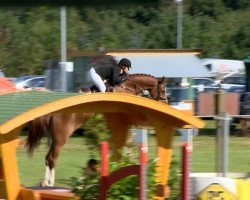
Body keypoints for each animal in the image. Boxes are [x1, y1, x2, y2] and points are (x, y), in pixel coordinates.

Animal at [25, 73, 167, 186]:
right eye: (163, 90)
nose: (165, 104)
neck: (127, 87)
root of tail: (52, 113)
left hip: (54, 139)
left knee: (47, 157)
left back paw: (45, 182)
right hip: (61, 139)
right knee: (52, 158)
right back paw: (50, 183)